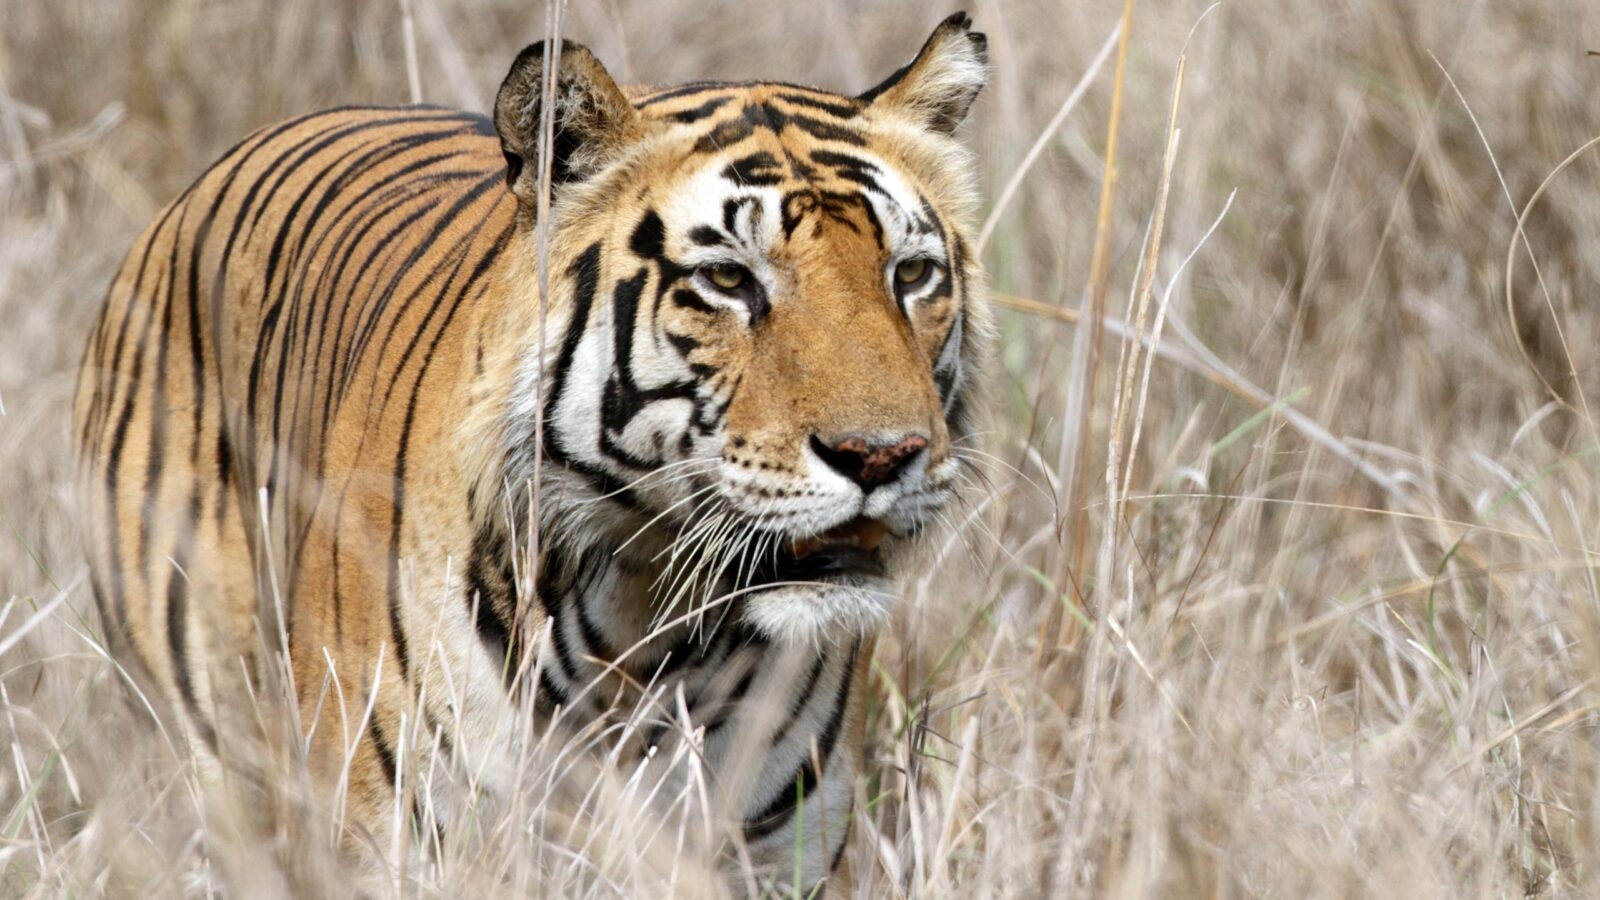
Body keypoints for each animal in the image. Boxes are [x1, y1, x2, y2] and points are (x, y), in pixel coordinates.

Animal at [73, 11, 989, 891]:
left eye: (911, 275)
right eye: (728, 281)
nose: (881, 456)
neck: (646, 620)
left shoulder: (772, 855)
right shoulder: (398, 843)